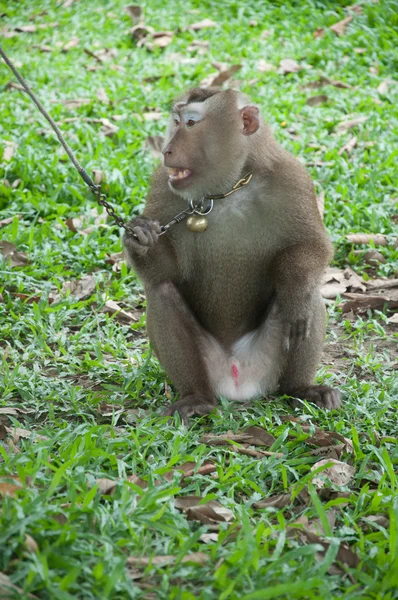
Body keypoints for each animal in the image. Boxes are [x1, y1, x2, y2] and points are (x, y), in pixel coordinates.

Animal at [123, 86, 340, 424]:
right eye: (176, 122)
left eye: (191, 123)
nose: (166, 151)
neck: (227, 190)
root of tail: (238, 382)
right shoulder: (162, 183)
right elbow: (165, 274)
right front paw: (141, 237)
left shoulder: (293, 178)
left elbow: (313, 247)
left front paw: (294, 290)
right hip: (211, 367)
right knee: (161, 293)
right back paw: (196, 397)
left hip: (267, 362)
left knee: (307, 298)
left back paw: (300, 388)